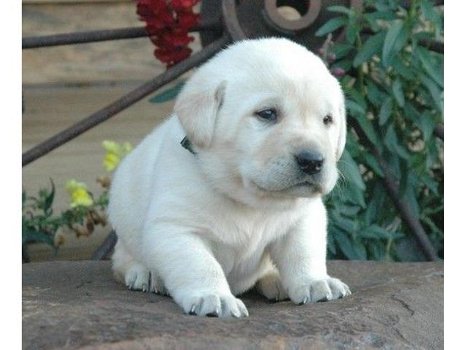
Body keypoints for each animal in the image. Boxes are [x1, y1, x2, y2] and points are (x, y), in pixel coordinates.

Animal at [109, 37, 352, 318]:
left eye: (327, 120)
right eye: (267, 113)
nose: (313, 161)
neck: (250, 200)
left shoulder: (303, 218)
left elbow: (303, 252)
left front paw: (316, 282)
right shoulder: (176, 228)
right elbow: (201, 265)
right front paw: (213, 297)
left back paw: (275, 279)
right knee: (122, 259)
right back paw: (145, 273)